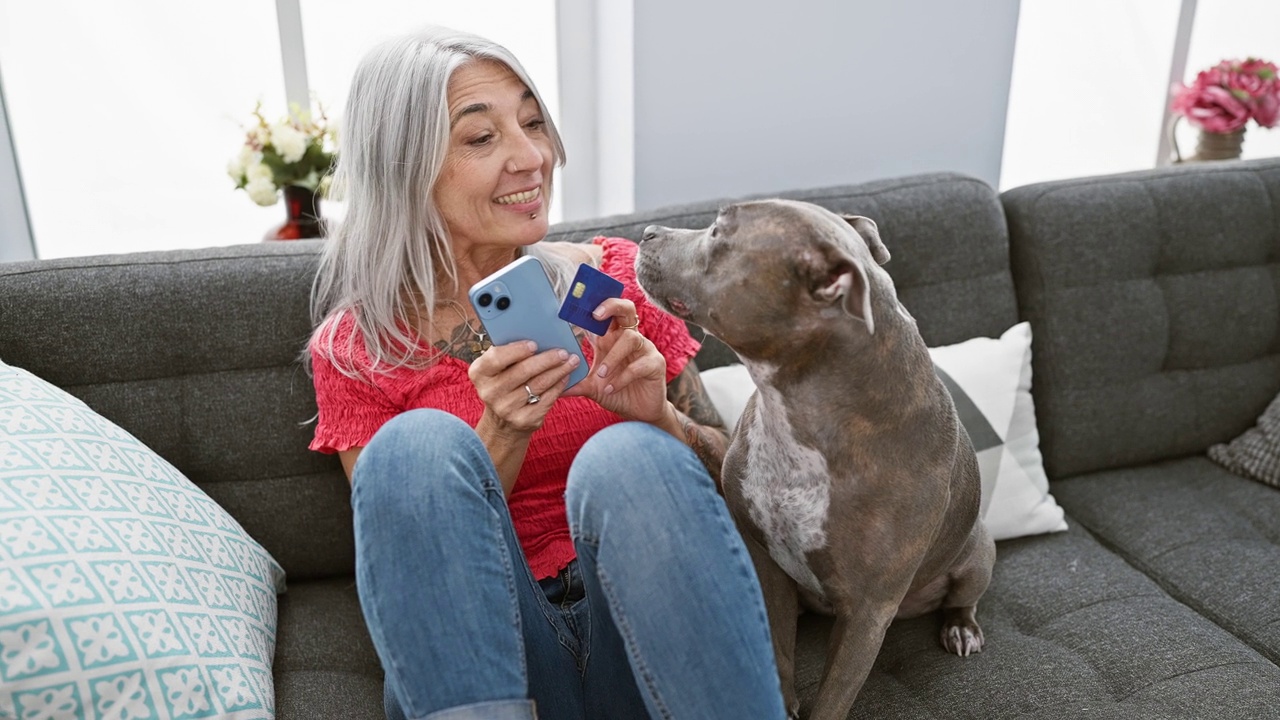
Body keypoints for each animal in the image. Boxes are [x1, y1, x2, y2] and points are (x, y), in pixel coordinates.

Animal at [634, 197, 993, 717]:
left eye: (719, 232)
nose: (647, 232)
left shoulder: (867, 614)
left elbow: (832, 700)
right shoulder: (768, 563)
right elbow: (780, 655)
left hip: (977, 552)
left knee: (964, 597)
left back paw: (961, 628)